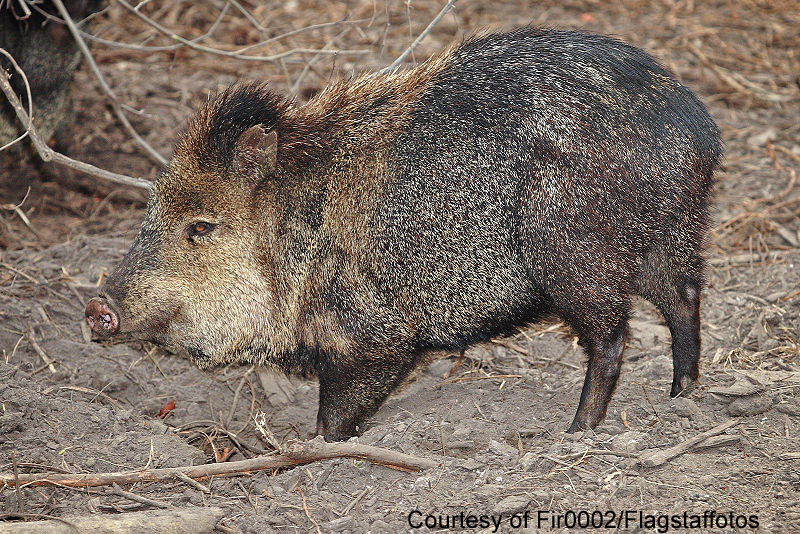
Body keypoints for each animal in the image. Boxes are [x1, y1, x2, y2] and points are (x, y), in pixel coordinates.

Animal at [86, 28, 722, 441]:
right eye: (152, 211)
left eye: (202, 226)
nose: (96, 307)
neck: (297, 235)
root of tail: (697, 127)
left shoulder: (373, 338)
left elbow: (335, 417)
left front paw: (320, 449)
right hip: (669, 234)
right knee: (685, 300)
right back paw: (682, 394)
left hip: (576, 255)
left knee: (614, 336)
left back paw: (575, 430)